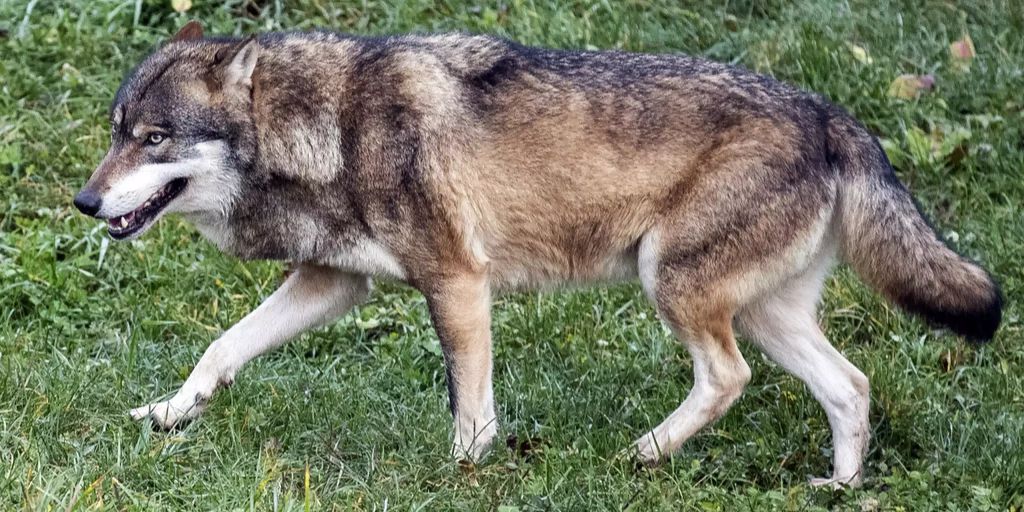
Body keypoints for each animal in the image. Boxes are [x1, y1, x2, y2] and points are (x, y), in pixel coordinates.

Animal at [75, 18, 1003, 483]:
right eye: (117, 134)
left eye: (154, 139)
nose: (84, 202)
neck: (328, 126)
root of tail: (833, 115)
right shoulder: (333, 285)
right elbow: (220, 349)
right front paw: (167, 414)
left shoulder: (457, 280)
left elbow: (471, 403)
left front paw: (464, 473)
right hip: (761, 311)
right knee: (851, 386)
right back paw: (838, 488)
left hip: (672, 287)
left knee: (730, 378)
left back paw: (643, 456)